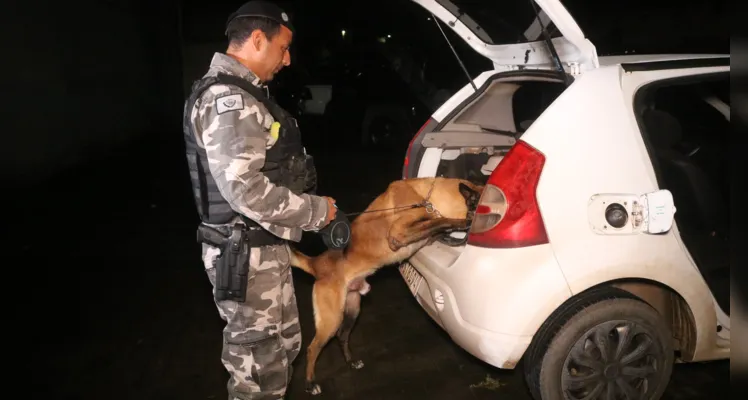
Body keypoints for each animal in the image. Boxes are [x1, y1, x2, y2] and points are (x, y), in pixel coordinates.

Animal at [290, 177, 482, 396]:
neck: (425, 196)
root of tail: (316, 263)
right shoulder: (399, 233)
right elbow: (440, 221)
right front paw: (464, 223)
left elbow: (436, 227)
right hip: (331, 319)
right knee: (312, 348)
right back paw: (310, 383)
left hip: (352, 309)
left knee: (342, 336)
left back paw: (351, 361)